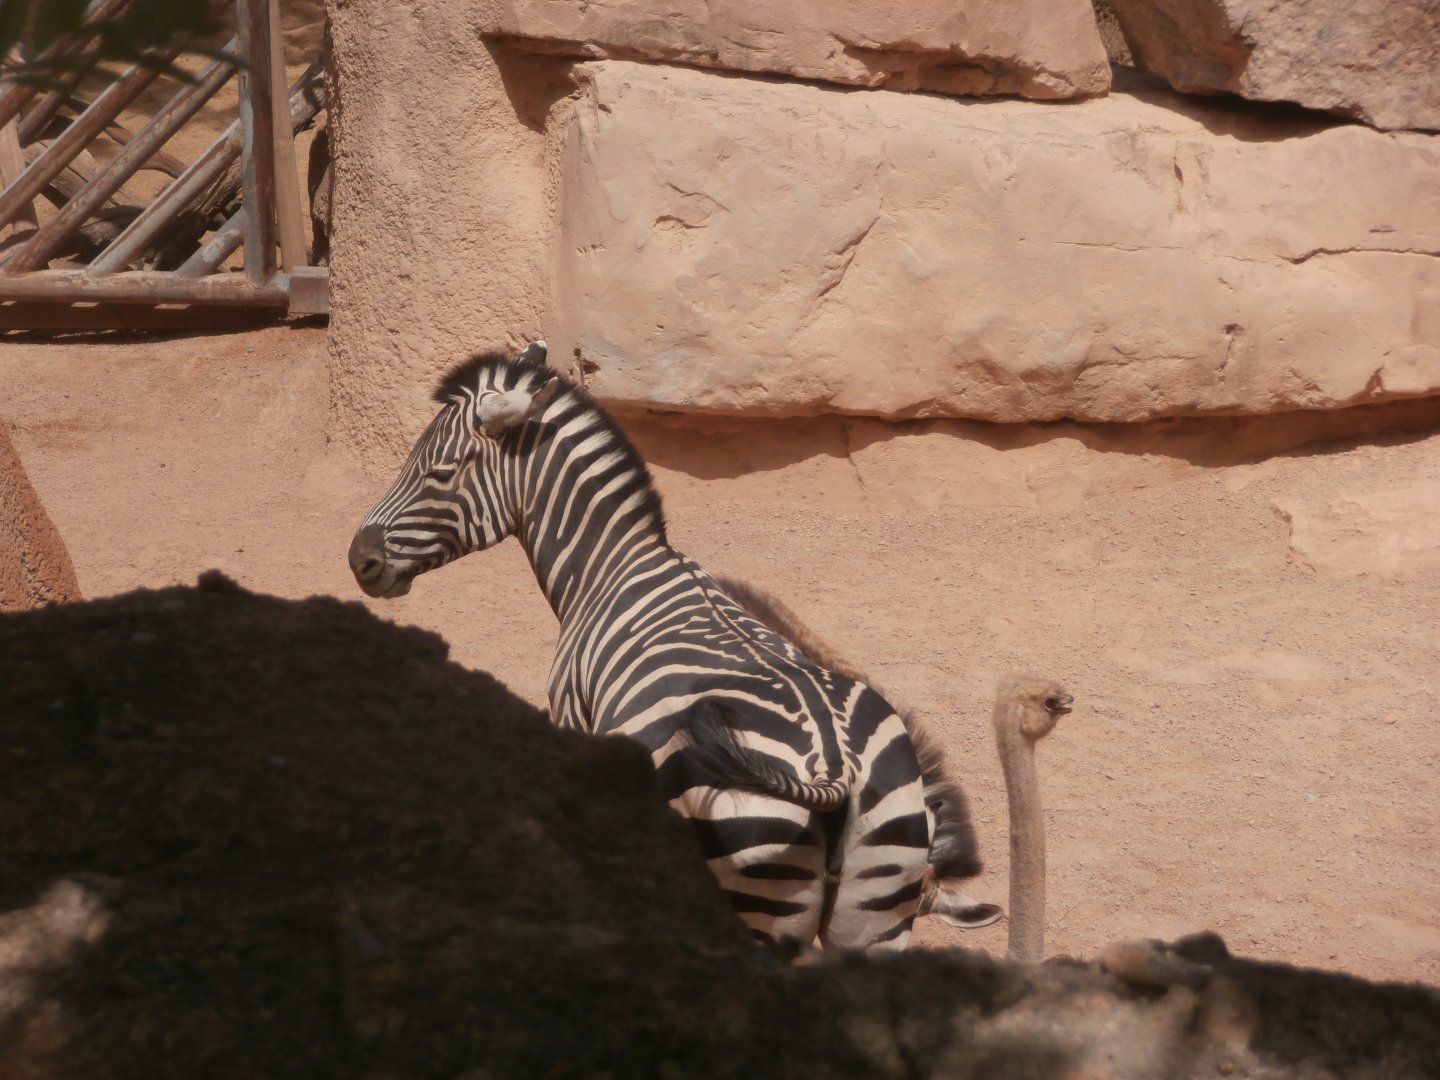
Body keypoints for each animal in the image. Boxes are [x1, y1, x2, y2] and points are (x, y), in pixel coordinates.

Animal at [348, 342, 937, 949]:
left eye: (439, 473)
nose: (358, 560)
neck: (607, 566)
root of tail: (831, 768)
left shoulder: (575, 721)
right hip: (878, 910)